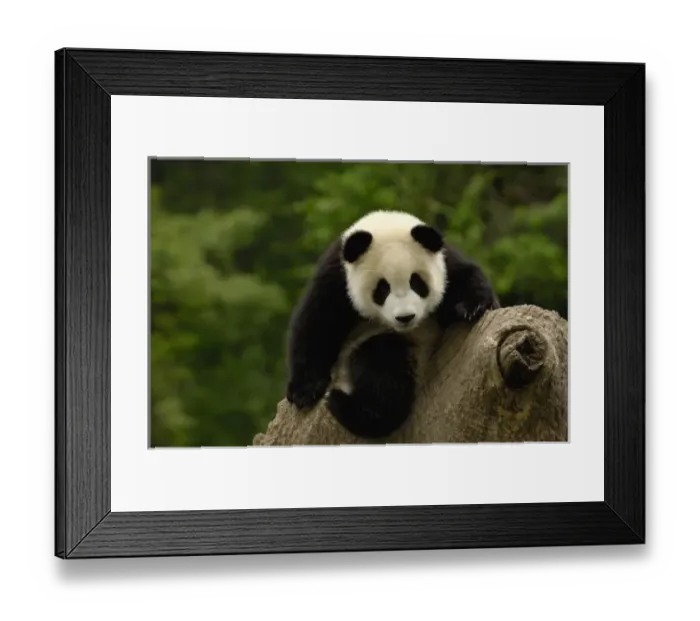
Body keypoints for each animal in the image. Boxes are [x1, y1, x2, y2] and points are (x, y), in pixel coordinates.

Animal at [285, 210, 499, 440]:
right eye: (382, 288)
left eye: (417, 282)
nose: (405, 317)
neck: (385, 224)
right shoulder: (336, 276)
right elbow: (317, 325)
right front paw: (304, 392)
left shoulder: (445, 263)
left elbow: (467, 277)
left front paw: (473, 307)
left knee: (384, 366)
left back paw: (346, 405)